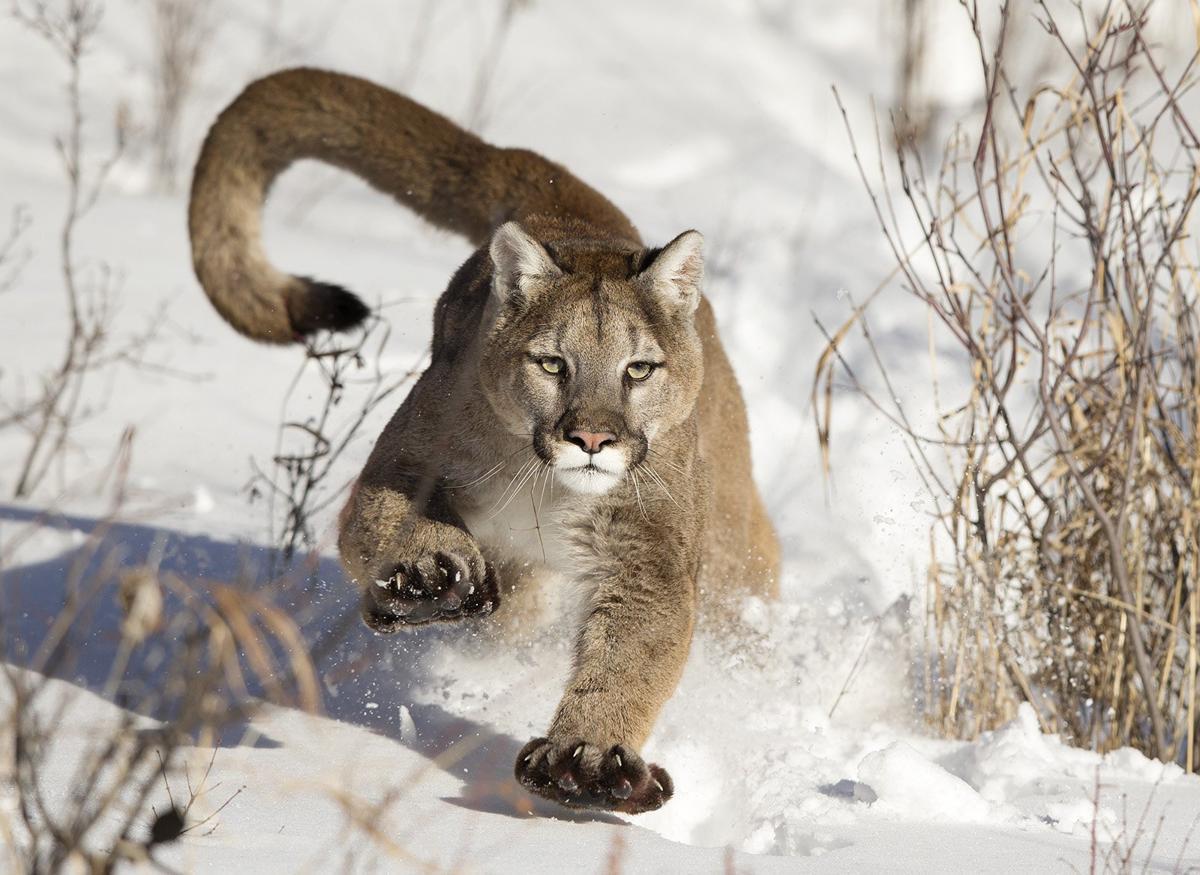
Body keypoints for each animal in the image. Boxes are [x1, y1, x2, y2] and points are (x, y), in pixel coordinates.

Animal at [187, 68, 777, 811]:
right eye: (552, 363)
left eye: (638, 368)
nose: (591, 437)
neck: (547, 488)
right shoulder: (407, 458)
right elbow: (377, 522)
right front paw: (426, 574)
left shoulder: (649, 549)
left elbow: (633, 651)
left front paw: (589, 758)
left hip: (728, 547)